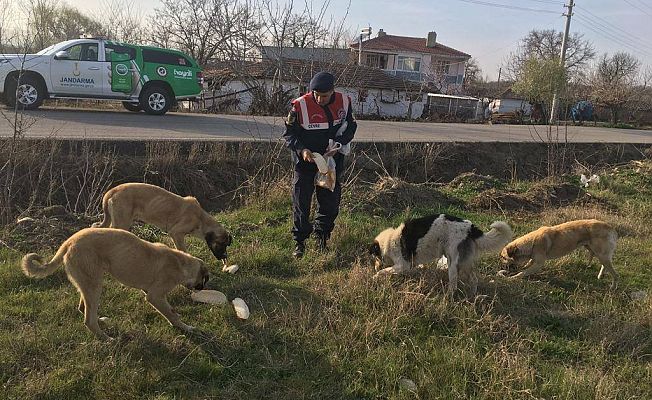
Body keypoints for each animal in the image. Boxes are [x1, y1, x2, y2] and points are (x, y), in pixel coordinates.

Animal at [21, 227, 209, 340]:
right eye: (204, 279)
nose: (202, 289)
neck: (179, 261)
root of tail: (69, 242)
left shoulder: (148, 291)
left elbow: (171, 310)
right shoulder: (155, 296)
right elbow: (171, 314)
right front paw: (186, 328)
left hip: (88, 284)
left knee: (84, 309)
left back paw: (101, 321)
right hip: (95, 285)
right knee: (88, 320)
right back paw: (107, 339)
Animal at [93, 183, 232, 260]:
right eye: (221, 244)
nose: (225, 257)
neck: (201, 219)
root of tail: (111, 191)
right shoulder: (176, 233)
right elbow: (183, 250)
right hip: (122, 223)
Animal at [370, 214, 512, 296]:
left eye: (375, 258)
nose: (374, 267)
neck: (388, 241)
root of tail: (471, 227)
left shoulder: (403, 265)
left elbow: (384, 271)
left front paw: (375, 276)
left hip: (452, 262)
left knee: (454, 284)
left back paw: (448, 297)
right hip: (464, 262)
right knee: (473, 279)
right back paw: (471, 297)